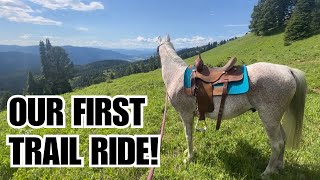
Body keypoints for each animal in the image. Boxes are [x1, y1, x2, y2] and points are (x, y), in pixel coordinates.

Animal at [156, 35, 306, 177]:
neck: (176, 76)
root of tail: (288, 70)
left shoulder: (185, 114)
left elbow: (188, 135)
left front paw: (189, 157)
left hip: (269, 118)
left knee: (277, 144)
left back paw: (267, 172)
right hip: (275, 119)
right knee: (284, 139)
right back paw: (279, 166)